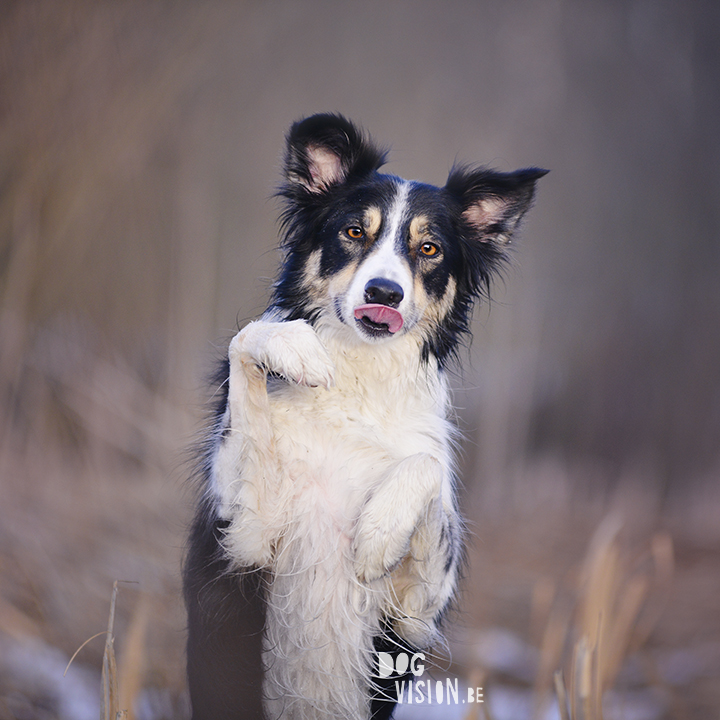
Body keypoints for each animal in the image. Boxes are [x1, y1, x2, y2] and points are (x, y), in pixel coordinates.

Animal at [186, 114, 544, 720]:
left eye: (429, 248)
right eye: (354, 232)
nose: (385, 291)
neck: (358, 383)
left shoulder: (415, 609)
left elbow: (429, 470)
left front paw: (377, 536)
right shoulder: (245, 535)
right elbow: (249, 338)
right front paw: (297, 351)